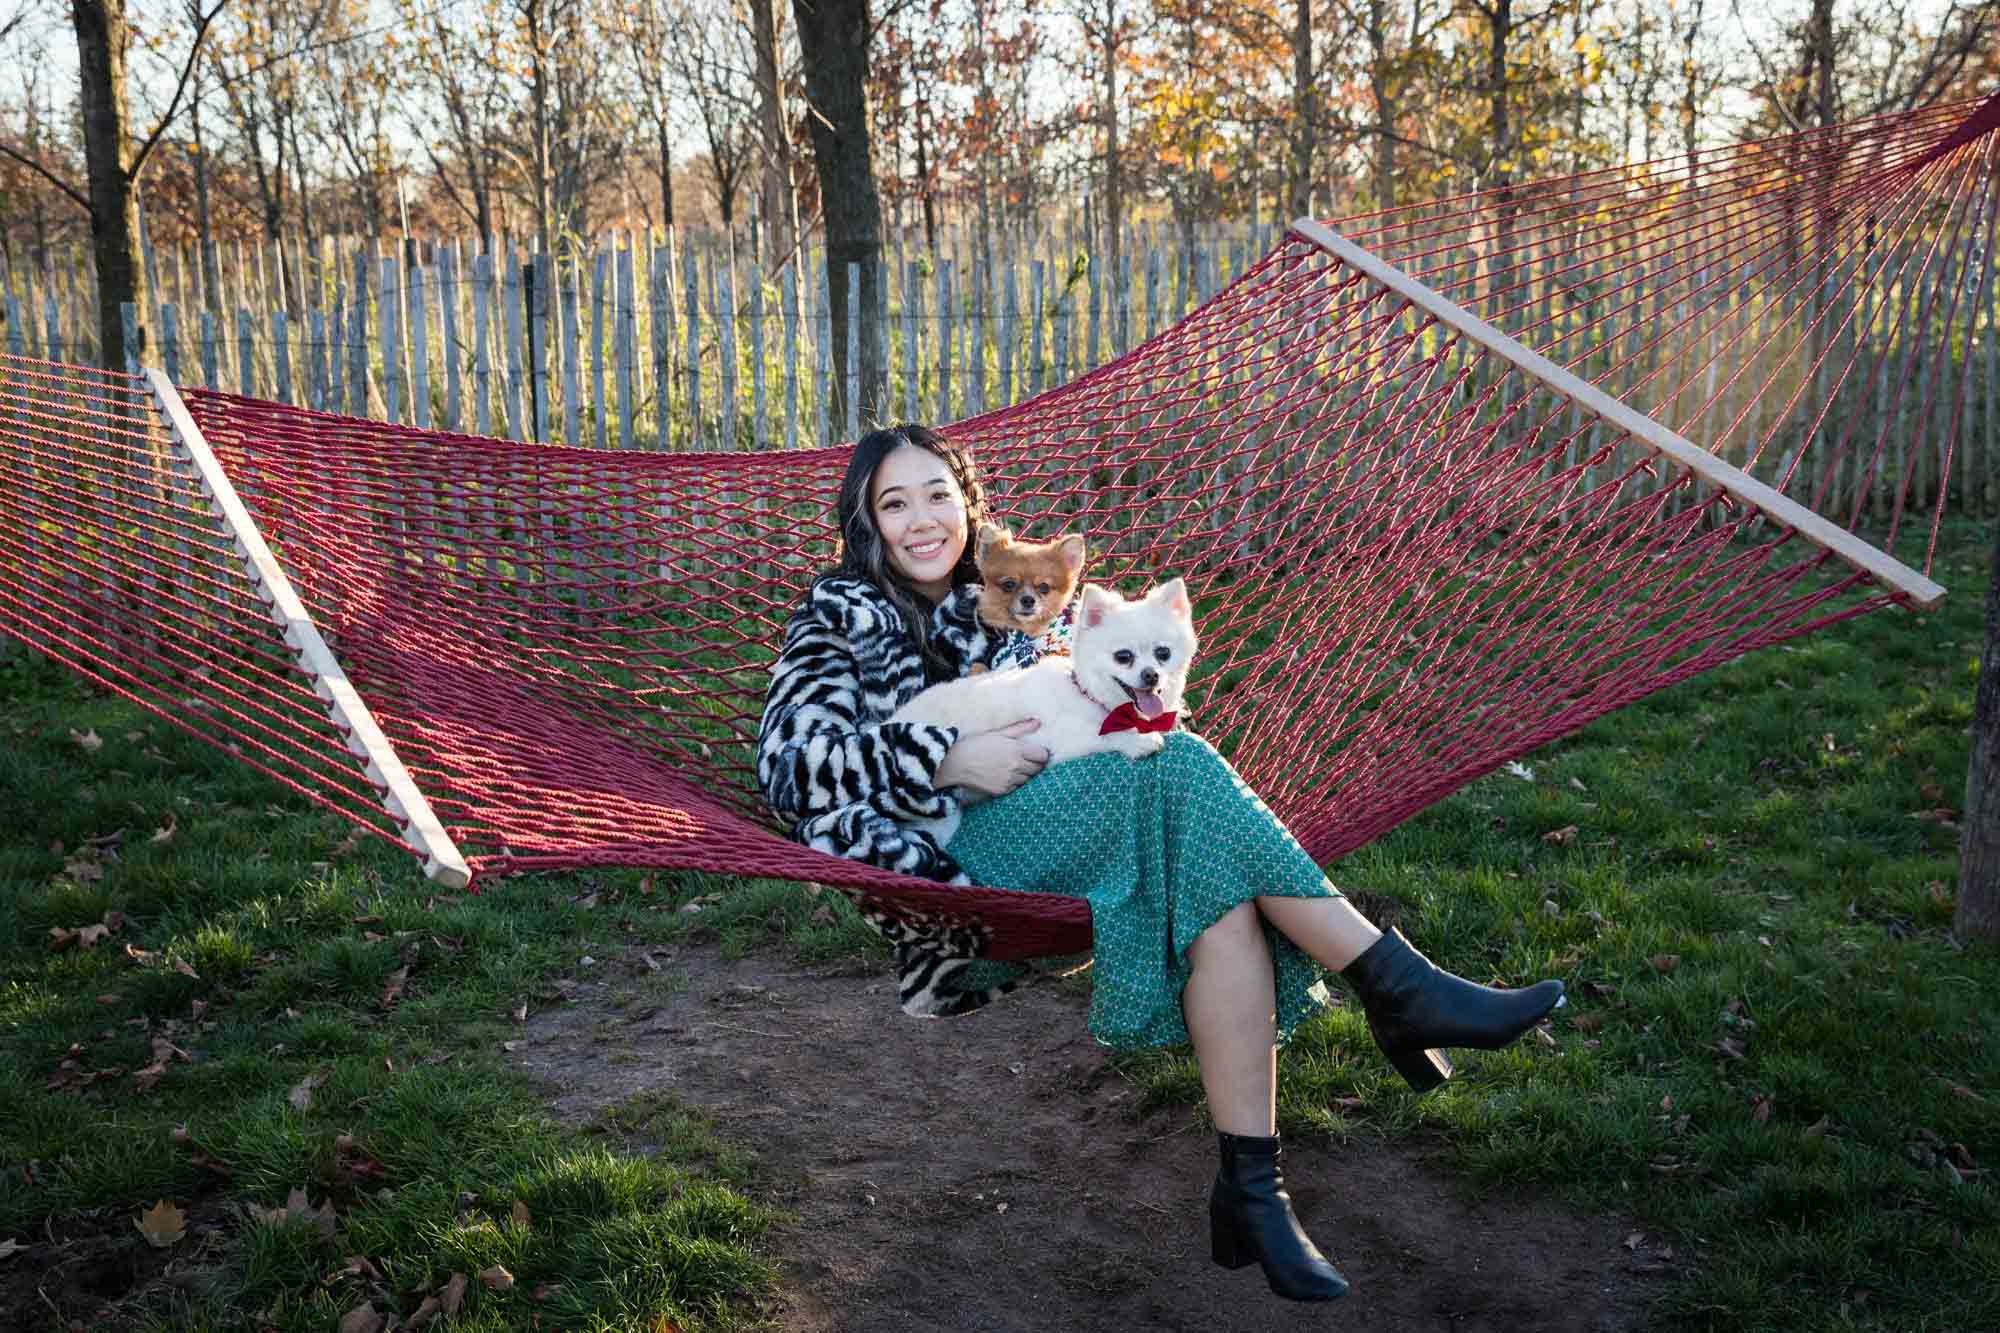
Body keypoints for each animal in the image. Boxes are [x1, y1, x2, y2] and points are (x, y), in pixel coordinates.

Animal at [896, 572, 1200, 840]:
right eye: (1123, 657)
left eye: (1163, 653)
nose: (1151, 675)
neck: (1091, 697)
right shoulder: (1057, 741)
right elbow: (1103, 735)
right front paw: (1139, 740)